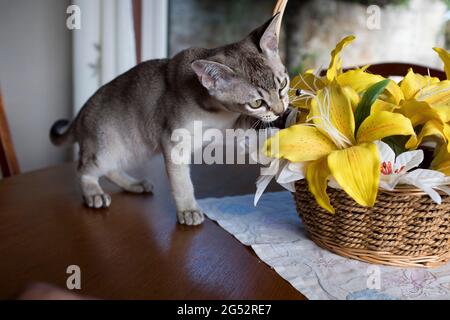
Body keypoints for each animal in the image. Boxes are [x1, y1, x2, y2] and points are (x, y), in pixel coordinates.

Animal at [49, 13, 288, 226]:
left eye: (282, 85)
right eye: (256, 102)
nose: (279, 109)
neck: (217, 112)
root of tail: (81, 112)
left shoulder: (230, 125)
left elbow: (252, 123)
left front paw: (283, 119)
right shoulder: (174, 144)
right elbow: (182, 182)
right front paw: (188, 211)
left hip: (134, 150)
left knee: (110, 169)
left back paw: (134, 184)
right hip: (107, 150)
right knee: (84, 169)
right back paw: (94, 194)